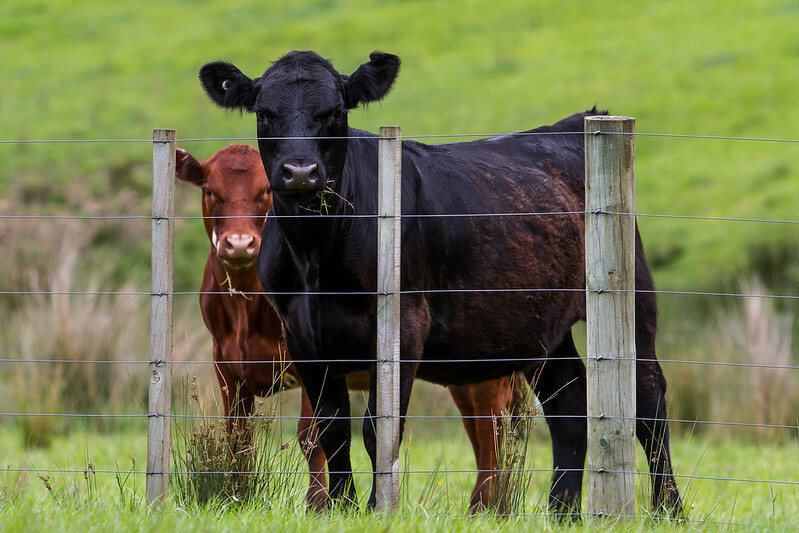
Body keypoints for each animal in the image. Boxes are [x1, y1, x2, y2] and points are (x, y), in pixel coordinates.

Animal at [176, 143, 531, 511]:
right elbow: (236, 433)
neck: (246, 308)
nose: (239, 243)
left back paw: (488, 505)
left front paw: (319, 504)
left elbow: (310, 433)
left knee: (493, 427)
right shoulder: (225, 363)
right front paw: (236, 496)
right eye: (209, 191)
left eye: (266, 193)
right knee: (478, 427)